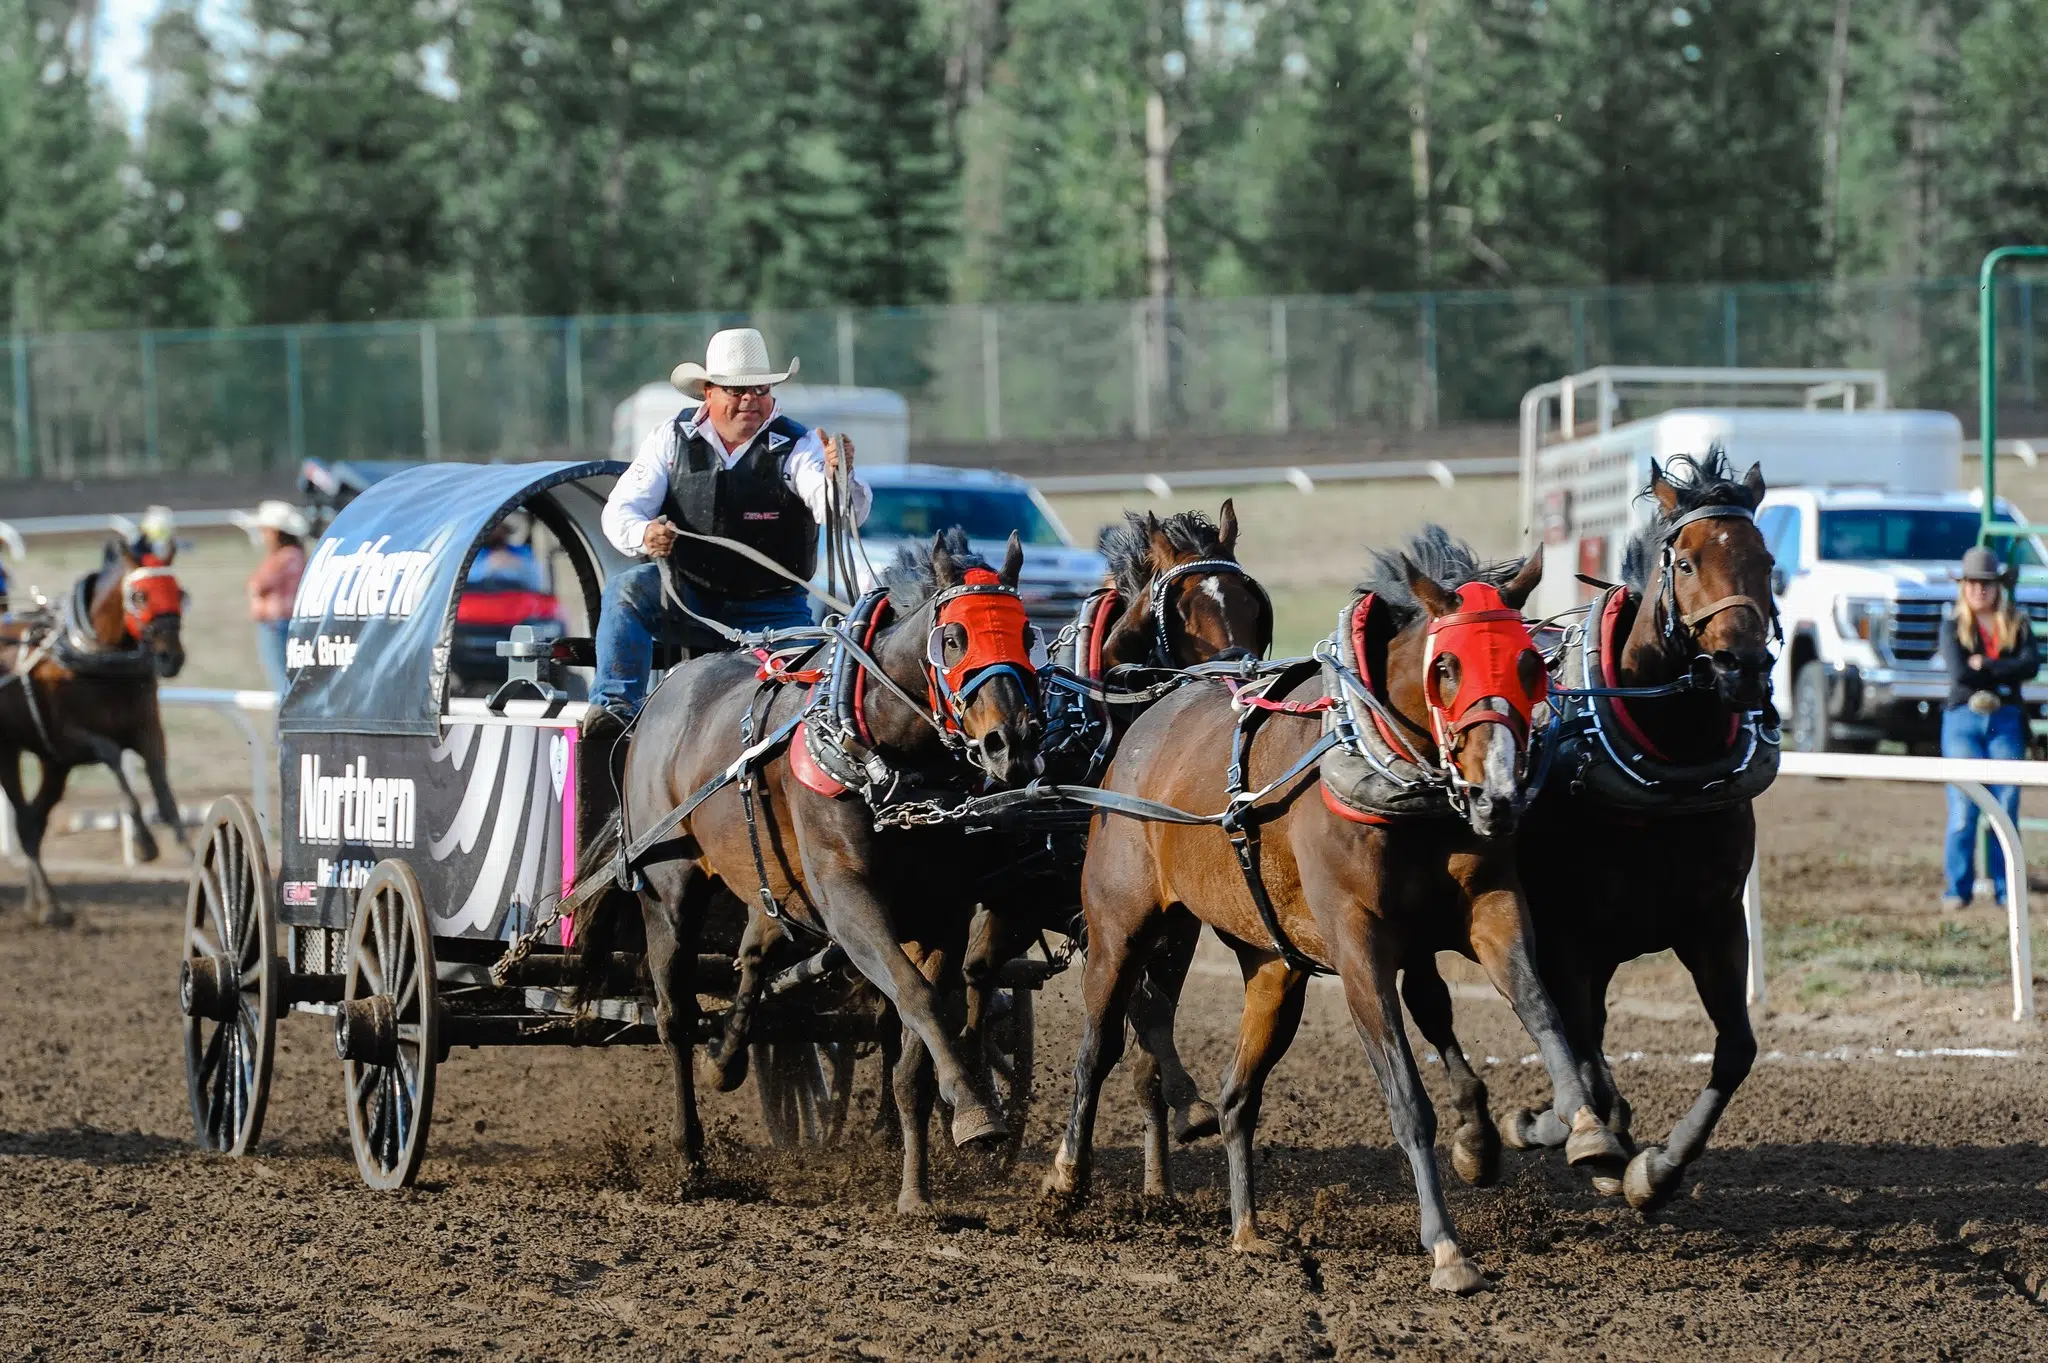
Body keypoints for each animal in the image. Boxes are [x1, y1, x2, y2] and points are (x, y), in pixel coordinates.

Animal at [0, 540, 190, 925]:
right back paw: (51, 906)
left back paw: (38, 902)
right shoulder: (69, 739)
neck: (94, 655)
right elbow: (113, 756)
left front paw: (187, 845)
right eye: (139, 595)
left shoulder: (148, 730)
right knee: (25, 822)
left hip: (52, 767)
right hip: (7, 751)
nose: (171, 658)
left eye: (178, 592)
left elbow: (161, 782)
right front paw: (144, 842)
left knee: (34, 822)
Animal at [589, 523, 1040, 1203]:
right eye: (954, 637)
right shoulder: (847, 898)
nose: (1011, 741)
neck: (884, 752)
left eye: (1027, 633)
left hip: (774, 883)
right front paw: (973, 1110)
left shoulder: (943, 911)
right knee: (675, 1015)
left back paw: (726, 1061)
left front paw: (918, 1186)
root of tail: (660, 697)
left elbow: (915, 1032)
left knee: (753, 955)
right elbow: (914, 996)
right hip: (669, 889)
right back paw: (690, 1156)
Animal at [1048, 523, 1622, 1293]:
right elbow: (1406, 1097)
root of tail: (1146, 724)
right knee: (1099, 1046)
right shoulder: (1360, 948)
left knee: (1237, 1095)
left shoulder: (1490, 910)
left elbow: (1542, 1011)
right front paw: (1446, 1246)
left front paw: (1587, 1130)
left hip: (1273, 968)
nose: (1499, 793)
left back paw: (1248, 1227)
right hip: (1124, 928)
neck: (1388, 771)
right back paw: (1067, 1176)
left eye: (1531, 663)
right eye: (1446, 666)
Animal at [1482, 450, 1785, 1203]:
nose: (1742, 667)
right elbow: (1580, 1047)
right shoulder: (1568, 932)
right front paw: (1575, 1131)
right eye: (1687, 562)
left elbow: (1736, 1048)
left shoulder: (1712, 922)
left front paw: (1658, 1168)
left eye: (1766, 560)